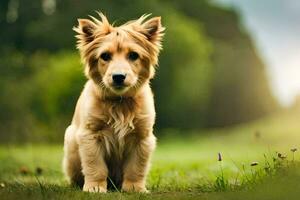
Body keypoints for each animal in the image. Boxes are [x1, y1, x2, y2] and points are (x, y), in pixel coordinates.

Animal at [62, 12, 164, 194]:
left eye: (133, 55)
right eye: (105, 56)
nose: (118, 77)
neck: (119, 102)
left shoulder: (142, 138)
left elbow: (136, 168)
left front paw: (135, 188)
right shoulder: (90, 136)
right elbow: (95, 166)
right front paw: (95, 187)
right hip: (71, 141)